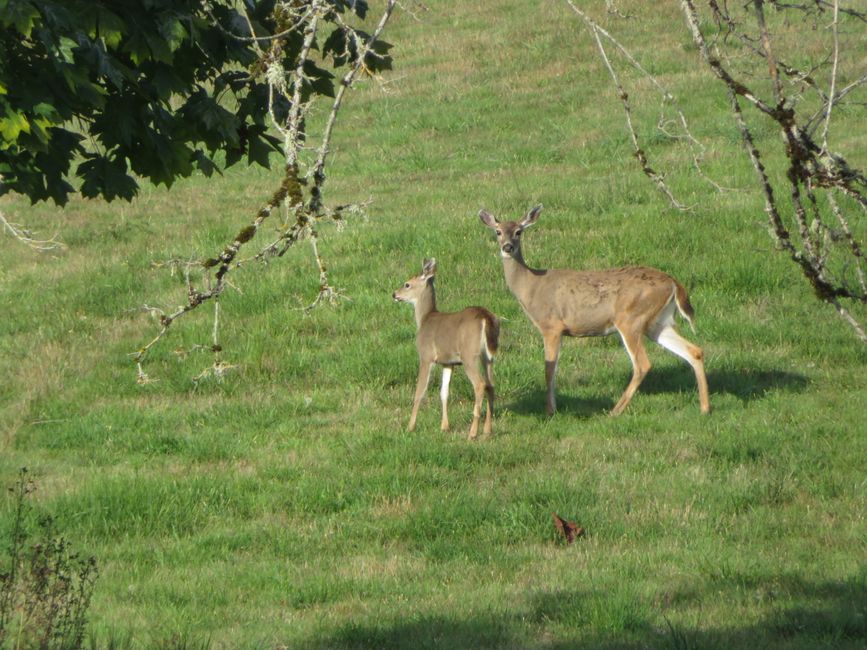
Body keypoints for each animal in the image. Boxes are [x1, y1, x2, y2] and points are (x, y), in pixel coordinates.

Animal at [396, 256, 502, 436]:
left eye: (407, 284)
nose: (394, 294)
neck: (425, 319)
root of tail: (485, 317)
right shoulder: (448, 362)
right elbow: (444, 392)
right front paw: (444, 426)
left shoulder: (426, 356)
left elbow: (420, 391)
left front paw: (410, 426)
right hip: (488, 356)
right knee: (491, 385)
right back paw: (487, 430)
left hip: (469, 355)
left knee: (480, 384)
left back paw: (473, 432)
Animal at [478, 204, 708, 416]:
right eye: (498, 231)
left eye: (519, 231)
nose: (507, 247)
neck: (531, 286)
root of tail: (674, 283)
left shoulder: (551, 325)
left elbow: (549, 369)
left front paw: (551, 411)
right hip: (657, 322)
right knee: (694, 350)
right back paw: (705, 408)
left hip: (630, 319)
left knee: (643, 364)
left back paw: (615, 410)